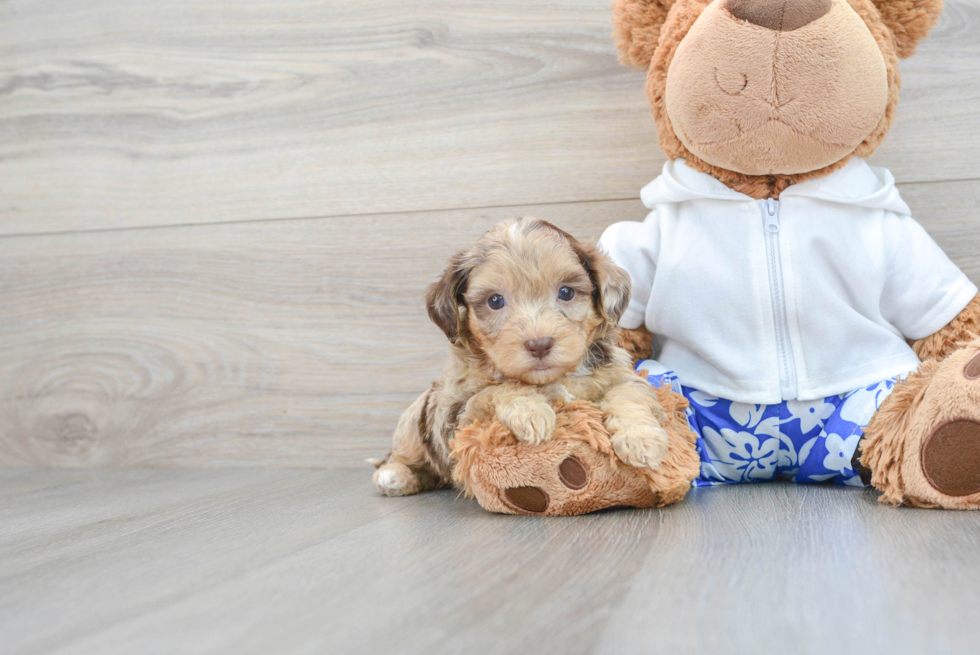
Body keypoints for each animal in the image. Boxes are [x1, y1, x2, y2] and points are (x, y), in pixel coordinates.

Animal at [372, 217, 668, 498]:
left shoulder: (621, 374)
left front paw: (642, 440)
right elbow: (498, 389)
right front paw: (532, 410)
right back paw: (395, 476)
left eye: (566, 292)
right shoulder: (456, 414)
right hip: (415, 421)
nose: (539, 344)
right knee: (402, 457)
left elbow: (629, 395)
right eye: (495, 301)